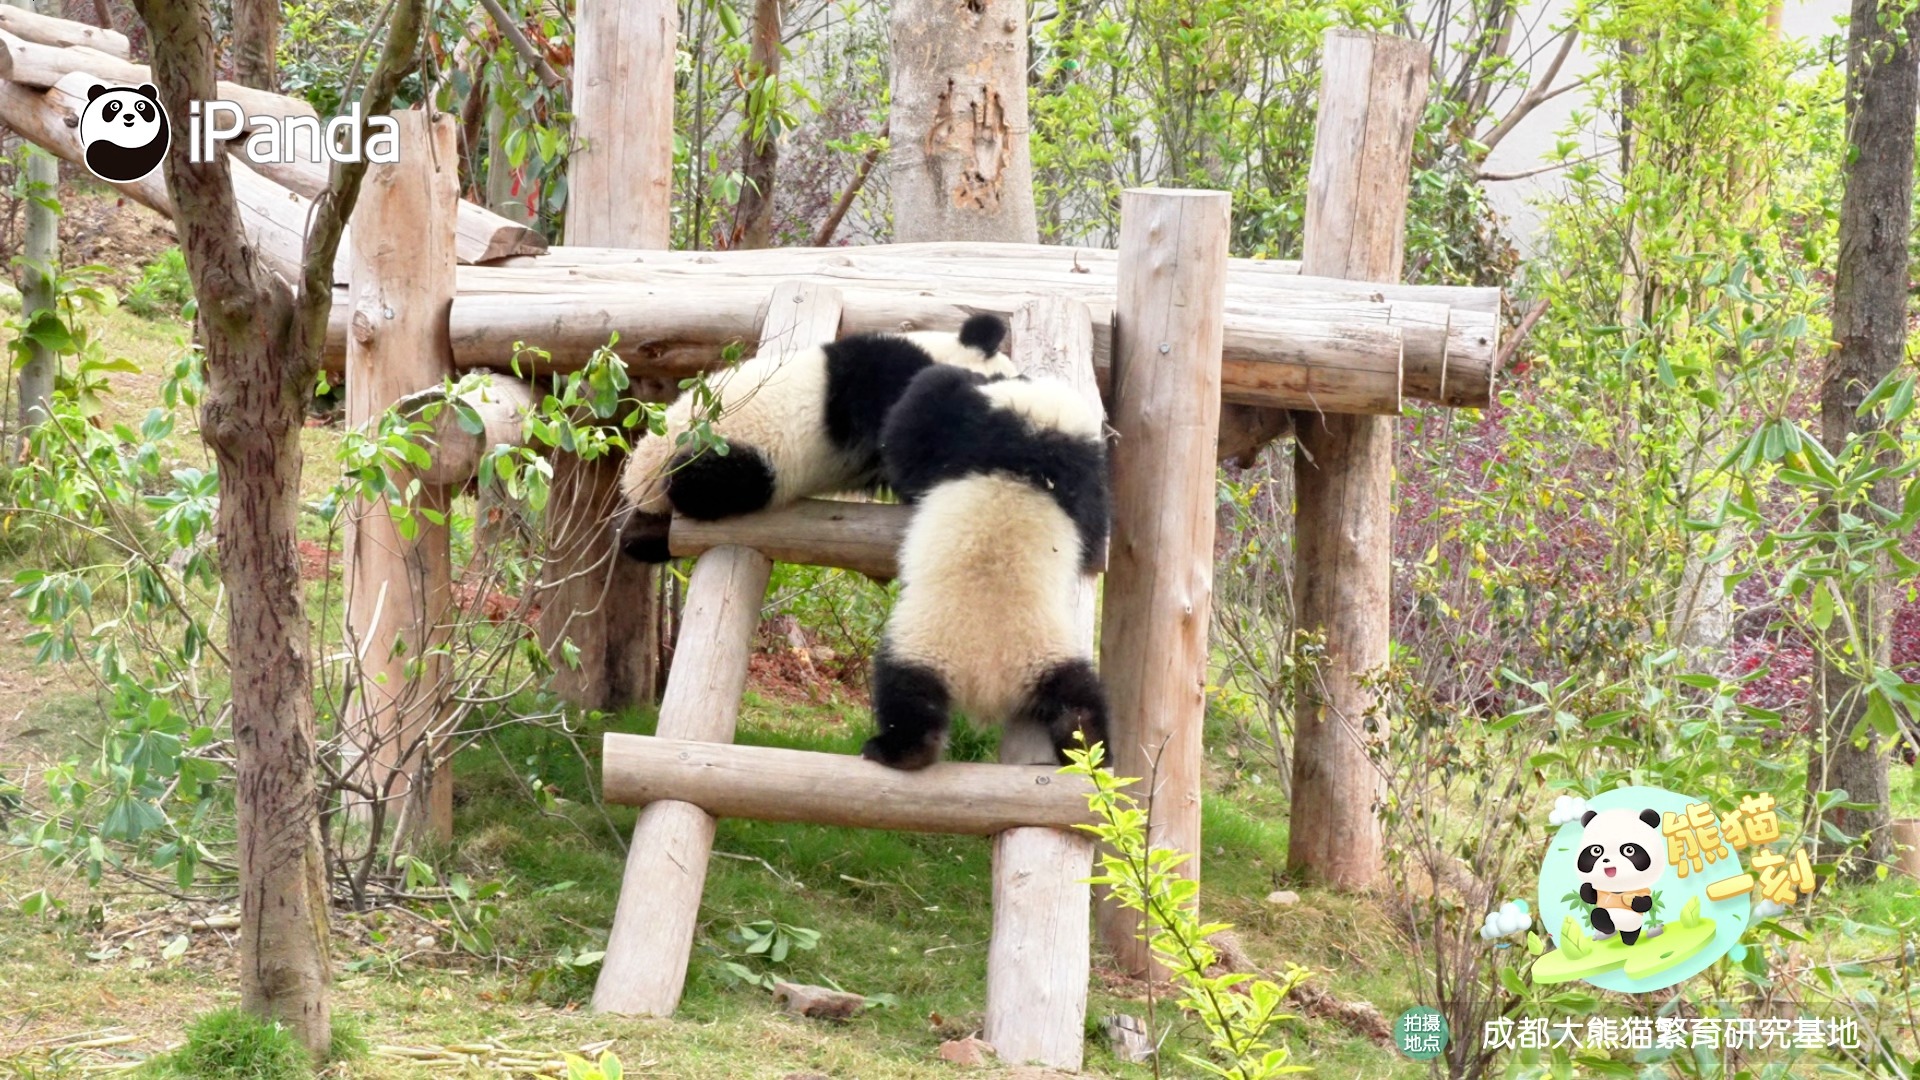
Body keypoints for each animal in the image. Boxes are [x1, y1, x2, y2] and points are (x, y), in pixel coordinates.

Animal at [617, 314, 1016, 562]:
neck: (936, 354)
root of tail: (638, 481)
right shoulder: (884, 380)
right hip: (727, 454)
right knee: (704, 481)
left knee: (641, 540)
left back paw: (640, 538)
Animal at [860, 364, 1111, 770]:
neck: (1036, 443)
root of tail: (990, 687)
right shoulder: (1082, 477)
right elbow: (1096, 530)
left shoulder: (968, 427)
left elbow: (913, 427)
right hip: (1053, 659)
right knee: (1080, 704)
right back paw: (1093, 750)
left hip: (925, 644)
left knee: (907, 695)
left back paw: (897, 750)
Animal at [1576, 807, 1666, 946]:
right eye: (1596, 850)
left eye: (1629, 850)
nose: (1607, 860)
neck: (1617, 890)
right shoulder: (1601, 892)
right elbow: (1590, 897)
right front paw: (1586, 887)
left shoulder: (1642, 890)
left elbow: (1646, 903)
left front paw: (1632, 900)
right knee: (1599, 914)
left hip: (1632, 924)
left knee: (1629, 931)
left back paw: (1628, 940)